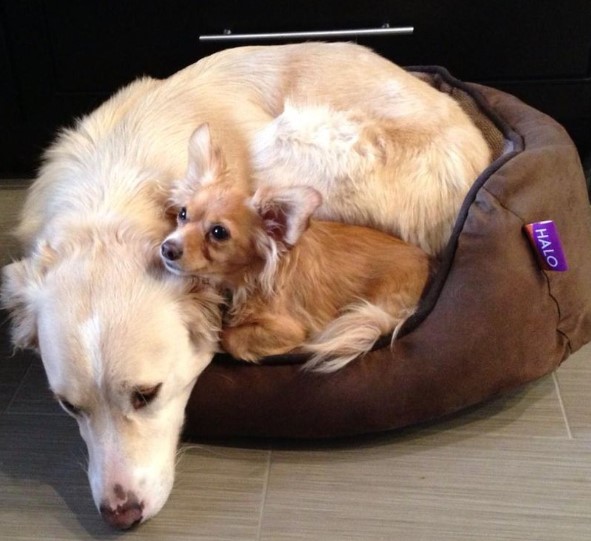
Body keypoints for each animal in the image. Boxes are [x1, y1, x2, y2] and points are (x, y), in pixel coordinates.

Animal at [161, 124, 430, 372]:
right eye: (183, 214)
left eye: (219, 233)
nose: (167, 248)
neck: (241, 283)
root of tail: (426, 262)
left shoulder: (289, 329)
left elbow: (230, 338)